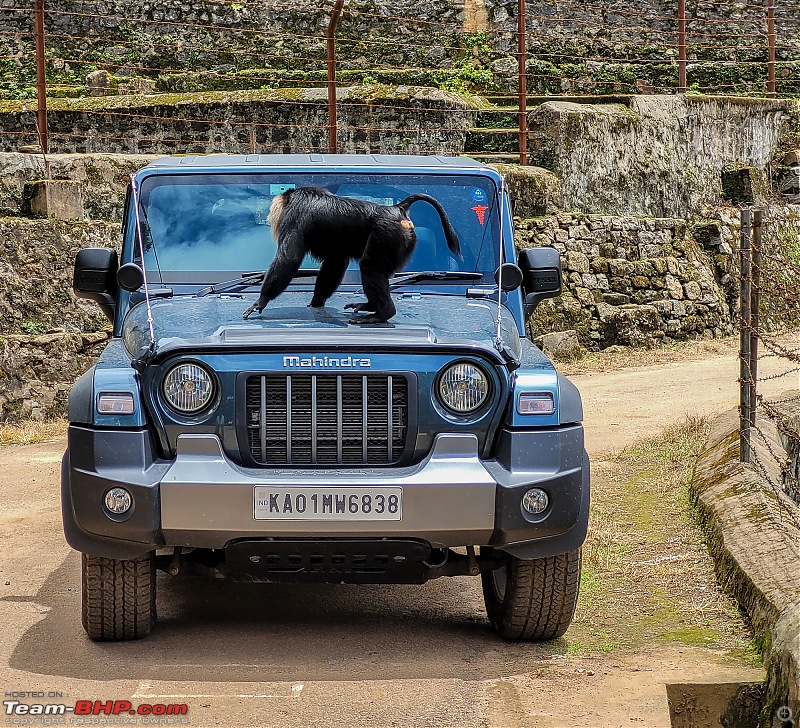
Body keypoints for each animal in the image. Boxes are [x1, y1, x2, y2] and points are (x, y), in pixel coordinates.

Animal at [241, 188, 460, 324]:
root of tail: (397, 209)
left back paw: (382, 313)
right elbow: (336, 262)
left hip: (387, 233)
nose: (270, 216)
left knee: (370, 267)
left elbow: (289, 259)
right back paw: (371, 306)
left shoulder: (294, 216)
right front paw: (317, 302)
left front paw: (261, 301)